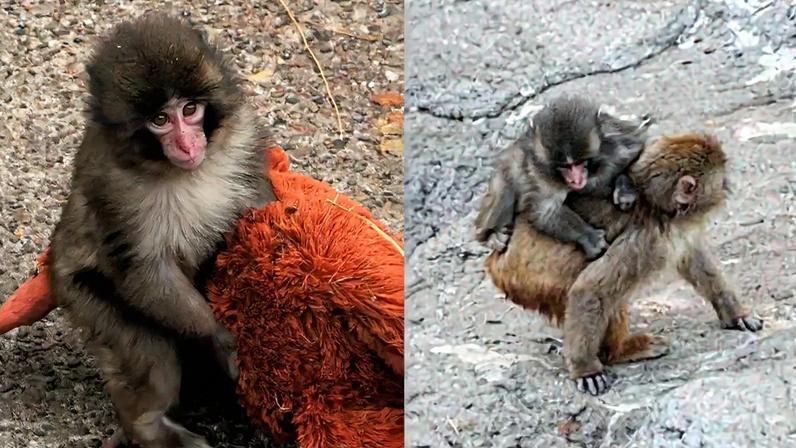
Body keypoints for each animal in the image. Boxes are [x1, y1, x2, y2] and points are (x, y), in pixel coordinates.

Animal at [48, 13, 275, 448]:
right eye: (160, 120)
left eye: (190, 109)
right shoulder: (114, 189)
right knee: (150, 351)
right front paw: (221, 337)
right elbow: (143, 272)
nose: (187, 144)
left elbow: (260, 204)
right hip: (82, 294)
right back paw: (148, 425)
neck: (182, 172)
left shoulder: (243, 136)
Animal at [474, 95, 652, 259]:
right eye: (565, 167)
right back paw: (490, 236)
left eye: (579, 163)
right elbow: (545, 210)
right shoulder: (541, 175)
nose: (576, 180)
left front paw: (624, 189)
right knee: (503, 191)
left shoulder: (618, 146)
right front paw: (588, 236)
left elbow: (639, 147)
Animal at [484, 133, 764, 396]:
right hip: (532, 282)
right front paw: (585, 369)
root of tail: (495, 261)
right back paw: (619, 352)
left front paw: (735, 312)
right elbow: (589, 290)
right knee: (603, 296)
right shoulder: (647, 241)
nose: (728, 186)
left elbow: (692, 256)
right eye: (721, 181)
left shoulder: (674, 231)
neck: (656, 205)